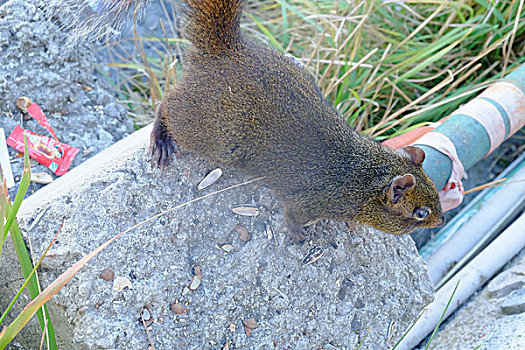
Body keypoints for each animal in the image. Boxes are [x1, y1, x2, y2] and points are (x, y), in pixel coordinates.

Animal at [62, 0, 446, 241]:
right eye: (421, 213)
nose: (442, 220)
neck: (363, 178)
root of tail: (224, 53)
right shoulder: (308, 202)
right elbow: (293, 216)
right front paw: (297, 234)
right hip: (212, 132)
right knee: (167, 106)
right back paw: (161, 139)